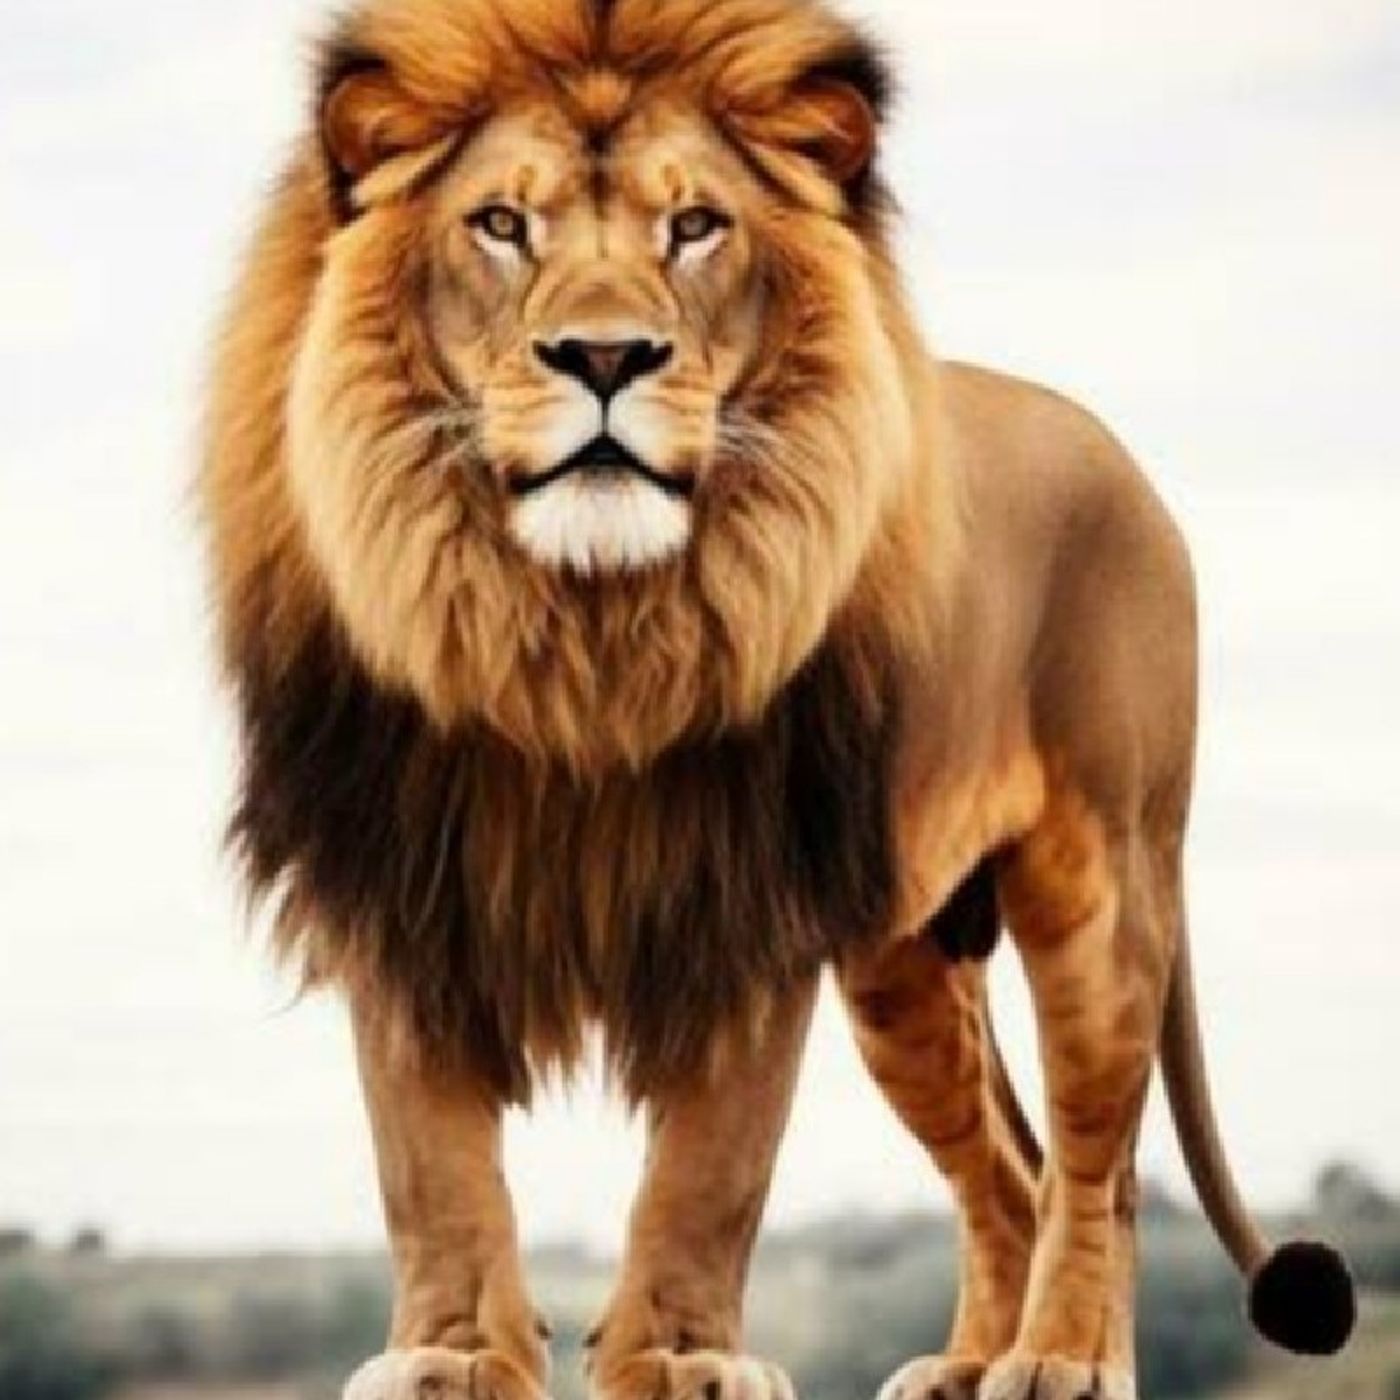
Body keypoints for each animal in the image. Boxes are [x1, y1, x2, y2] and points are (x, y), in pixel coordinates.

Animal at [201, 1, 1356, 1398]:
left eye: (695, 226)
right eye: (501, 222)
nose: (604, 355)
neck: (573, 628)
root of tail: (1112, 447)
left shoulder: (744, 895)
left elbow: (711, 1166)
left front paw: (684, 1357)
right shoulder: (405, 878)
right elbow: (431, 1163)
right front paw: (451, 1353)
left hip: (1102, 877)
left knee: (1098, 1164)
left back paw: (1064, 1359)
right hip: (906, 969)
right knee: (1005, 1174)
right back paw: (967, 1364)